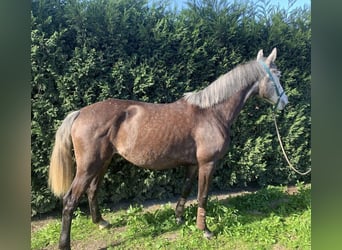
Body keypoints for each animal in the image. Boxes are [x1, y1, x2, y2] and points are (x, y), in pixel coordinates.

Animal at [48, 47, 288, 249]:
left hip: (103, 162)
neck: (212, 113)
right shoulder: (208, 164)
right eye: (277, 75)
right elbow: (202, 196)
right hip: (88, 165)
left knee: (92, 190)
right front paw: (205, 230)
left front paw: (179, 217)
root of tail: (80, 112)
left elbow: (186, 189)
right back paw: (64, 244)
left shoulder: (193, 164)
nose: (285, 103)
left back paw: (100, 222)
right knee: (70, 200)